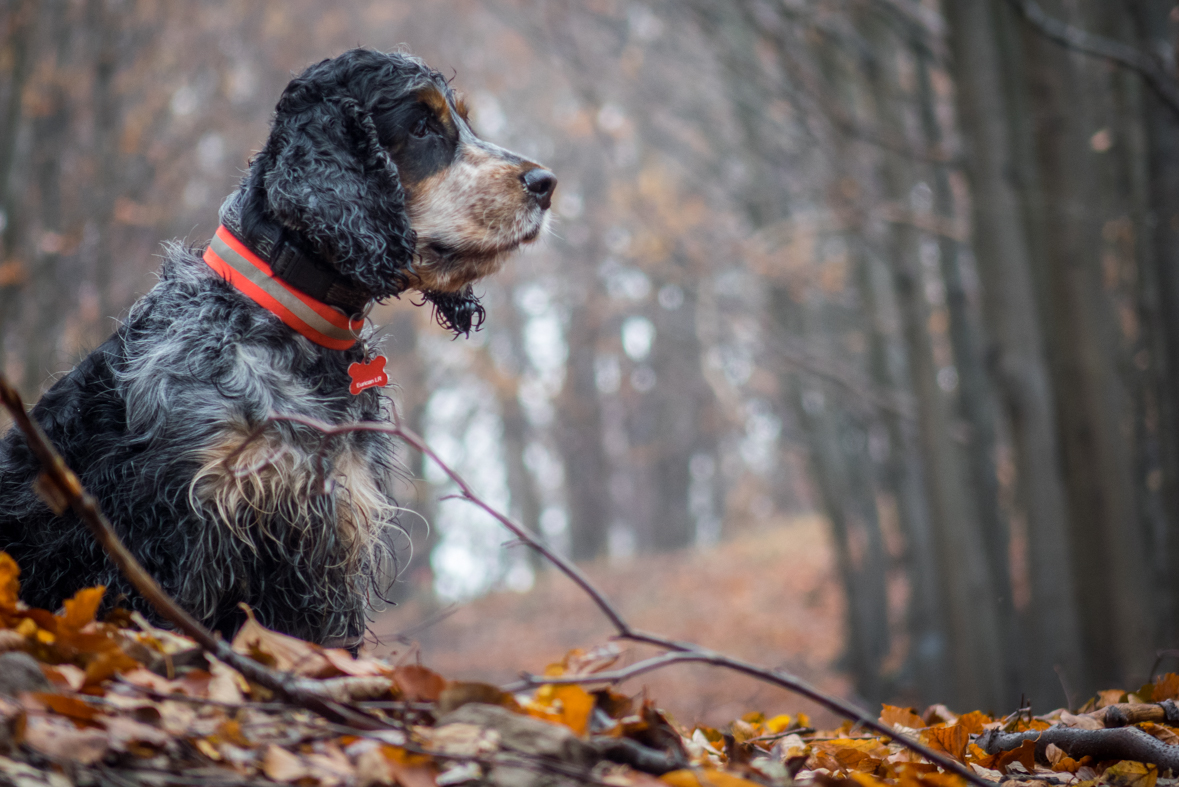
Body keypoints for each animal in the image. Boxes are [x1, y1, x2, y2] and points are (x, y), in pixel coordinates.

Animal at [0, 50, 556, 650]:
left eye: (464, 121)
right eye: (422, 125)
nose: (546, 182)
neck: (288, 325)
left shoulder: (327, 545)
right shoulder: (176, 534)